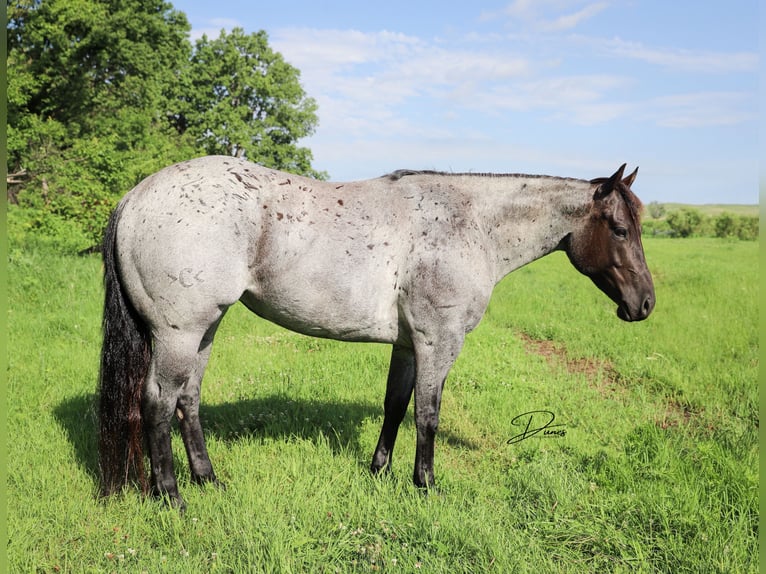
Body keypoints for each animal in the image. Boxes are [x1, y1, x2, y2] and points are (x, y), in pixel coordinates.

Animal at [99, 155, 656, 510]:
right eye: (620, 229)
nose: (645, 304)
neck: (470, 222)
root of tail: (136, 196)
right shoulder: (438, 342)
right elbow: (428, 415)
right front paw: (425, 485)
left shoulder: (409, 345)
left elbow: (395, 405)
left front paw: (380, 471)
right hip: (179, 333)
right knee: (157, 402)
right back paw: (172, 497)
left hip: (205, 329)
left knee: (187, 400)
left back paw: (209, 481)